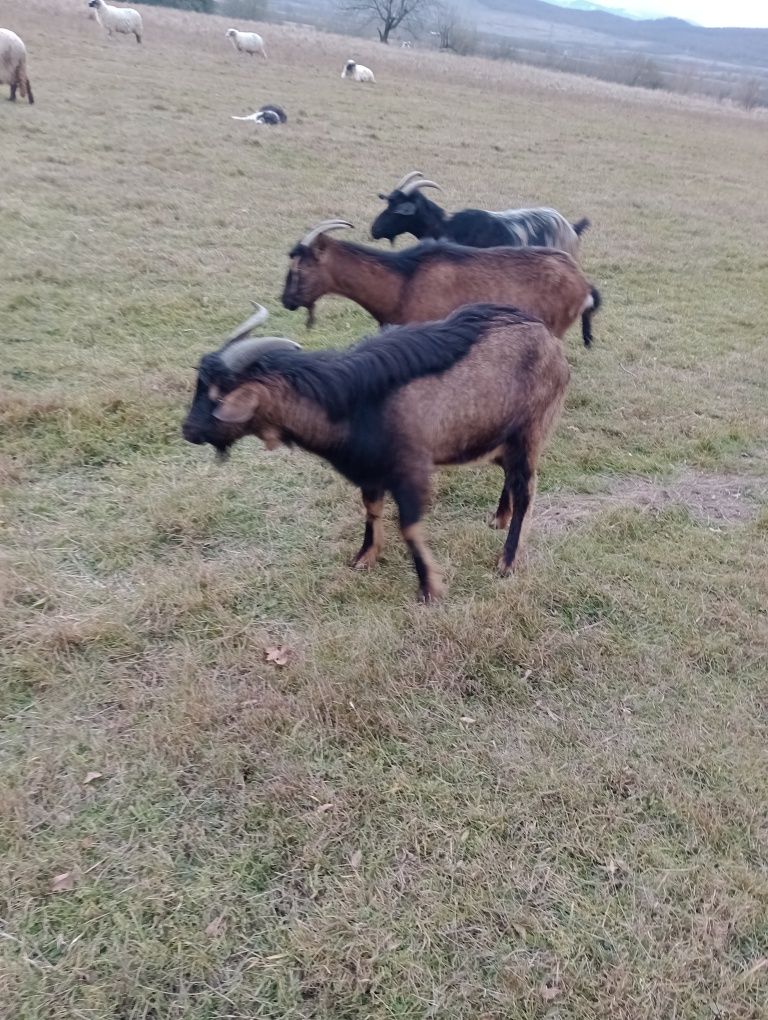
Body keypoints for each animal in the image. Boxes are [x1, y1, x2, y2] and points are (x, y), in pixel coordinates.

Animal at [182, 303, 571, 603]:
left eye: (218, 393)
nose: (188, 430)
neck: (353, 403)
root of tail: (550, 340)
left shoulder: (411, 470)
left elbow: (409, 527)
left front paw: (430, 589)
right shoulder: (370, 473)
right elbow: (371, 511)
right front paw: (364, 558)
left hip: (531, 431)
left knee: (525, 489)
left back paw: (507, 560)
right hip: (499, 435)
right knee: (510, 477)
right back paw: (499, 517)